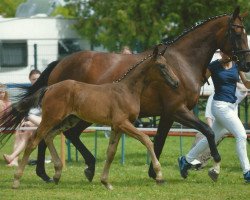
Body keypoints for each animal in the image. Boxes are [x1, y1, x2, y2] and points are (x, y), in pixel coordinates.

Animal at [10, 47, 178, 189]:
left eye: (168, 64)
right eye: (162, 66)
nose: (176, 82)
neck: (127, 91)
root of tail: (49, 87)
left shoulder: (116, 127)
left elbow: (111, 152)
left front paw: (106, 182)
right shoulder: (123, 123)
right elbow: (147, 140)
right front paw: (159, 176)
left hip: (68, 120)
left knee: (48, 137)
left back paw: (57, 174)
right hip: (51, 118)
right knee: (33, 141)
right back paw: (17, 180)